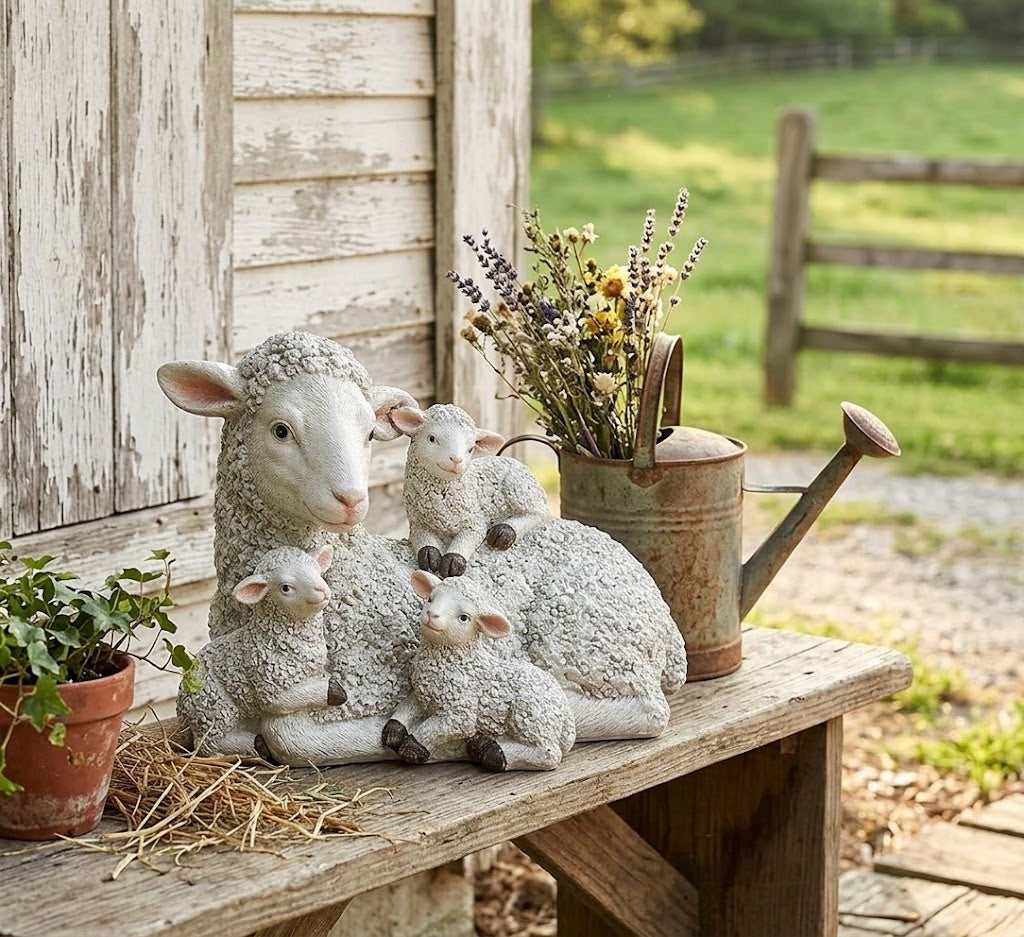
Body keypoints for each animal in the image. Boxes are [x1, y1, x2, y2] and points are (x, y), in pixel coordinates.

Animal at [177, 545, 345, 757]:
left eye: (317, 570)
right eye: (285, 587)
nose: (321, 590)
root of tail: (181, 702)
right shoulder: (270, 686)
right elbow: (288, 700)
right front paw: (336, 691)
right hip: (213, 706)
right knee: (207, 744)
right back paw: (257, 745)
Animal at [382, 571, 575, 771]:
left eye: (464, 617)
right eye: (430, 599)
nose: (431, 614)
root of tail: (566, 714)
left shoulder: (460, 709)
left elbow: (435, 728)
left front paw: (411, 748)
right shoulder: (422, 695)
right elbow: (405, 709)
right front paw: (392, 733)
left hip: (531, 713)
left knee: (549, 753)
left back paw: (493, 753)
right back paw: (480, 747)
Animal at [391, 404, 551, 578]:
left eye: (470, 449)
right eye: (432, 438)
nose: (456, 460)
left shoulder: (474, 521)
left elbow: (468, 539)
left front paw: (452, 562)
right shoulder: (418, 522)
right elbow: (422, 539)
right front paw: (429, 556)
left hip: (519, 489)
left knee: (539, 513)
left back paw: (503, 532)